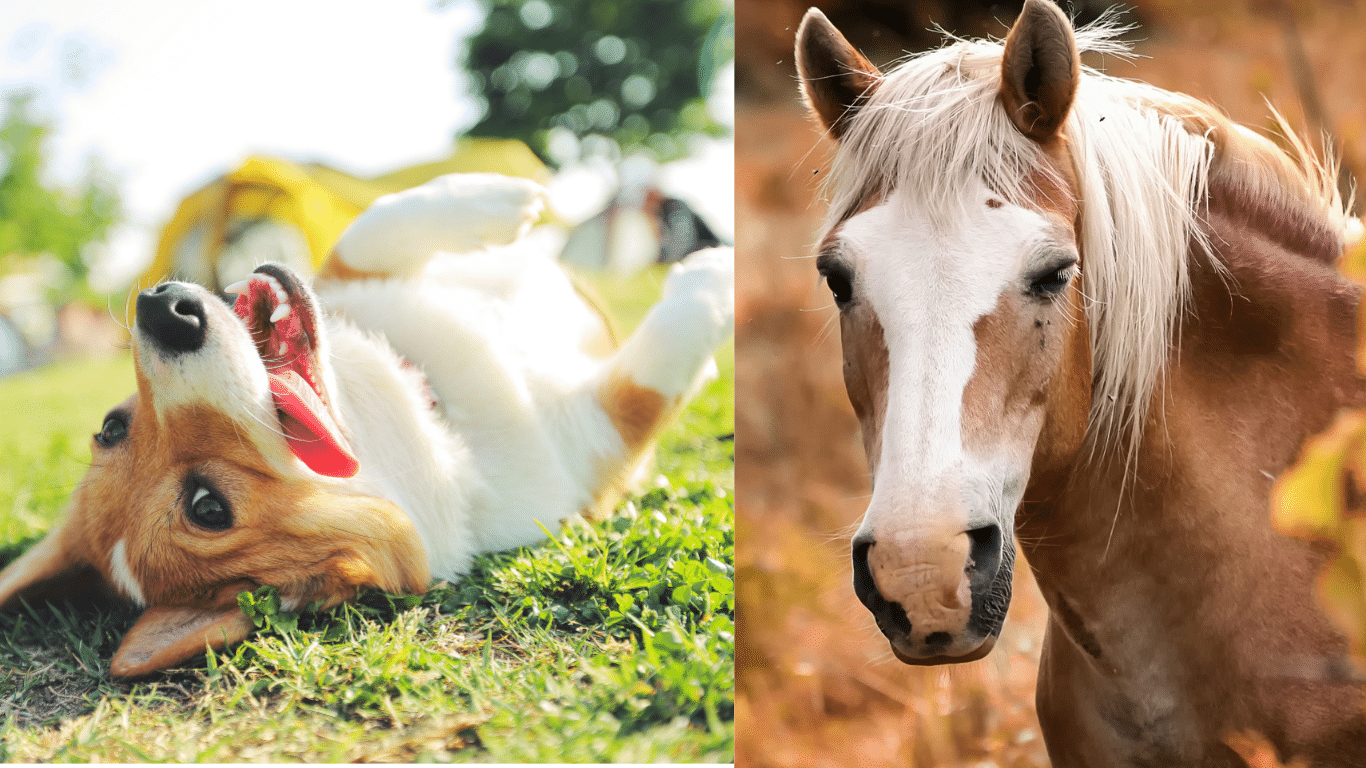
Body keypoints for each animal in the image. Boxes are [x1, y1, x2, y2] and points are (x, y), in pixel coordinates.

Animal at [0, 172, 737, 675]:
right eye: (207, 507)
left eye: (111, 424)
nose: (161, 309)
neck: (430, 403)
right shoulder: (598, 439)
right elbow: (654, 373)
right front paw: (710, 278)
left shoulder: (346, 278)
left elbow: (373, 229)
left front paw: (494, 199)